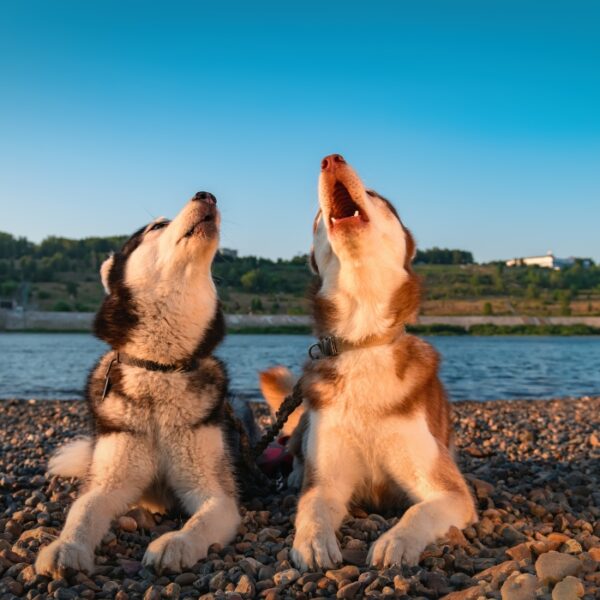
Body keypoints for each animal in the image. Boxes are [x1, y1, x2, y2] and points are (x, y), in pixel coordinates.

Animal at [34, 192, 241, 576]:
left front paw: (176, 542)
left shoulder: (217, 493)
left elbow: (200, 520)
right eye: (157, 226)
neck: (159, 369)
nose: (207, 195)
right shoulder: (108, 479)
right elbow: (82, 511)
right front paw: (65, 546)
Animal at [262, 156, 478, 572]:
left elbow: (419, 511)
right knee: (294, 448)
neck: (362, 342)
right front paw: (312, 542)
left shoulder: (450, 491)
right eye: (317, 217)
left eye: (376, 196)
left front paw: (396, 541)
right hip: (305, 421)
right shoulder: (328, 480)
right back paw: (294, 474)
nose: (331, 159)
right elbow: (312, 507)